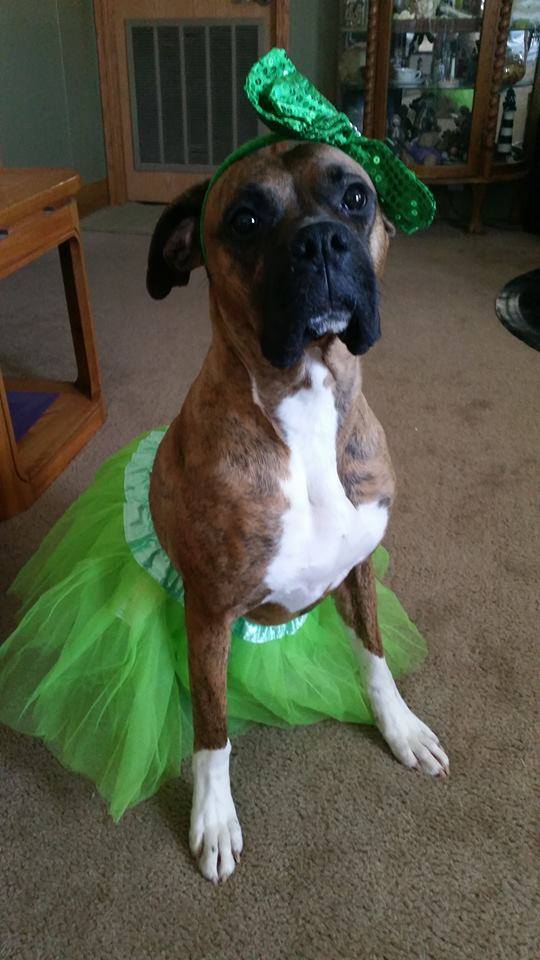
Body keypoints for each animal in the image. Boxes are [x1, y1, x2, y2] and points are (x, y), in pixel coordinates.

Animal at [144, 142, 448, 884]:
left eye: (356, 198)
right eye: (247, 219)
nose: (321, 240)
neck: (306, 393)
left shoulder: (360, 570)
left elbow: (375, 658)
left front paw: (400, 728)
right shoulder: (209, 613)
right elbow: (213, 727)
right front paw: (213, 817)